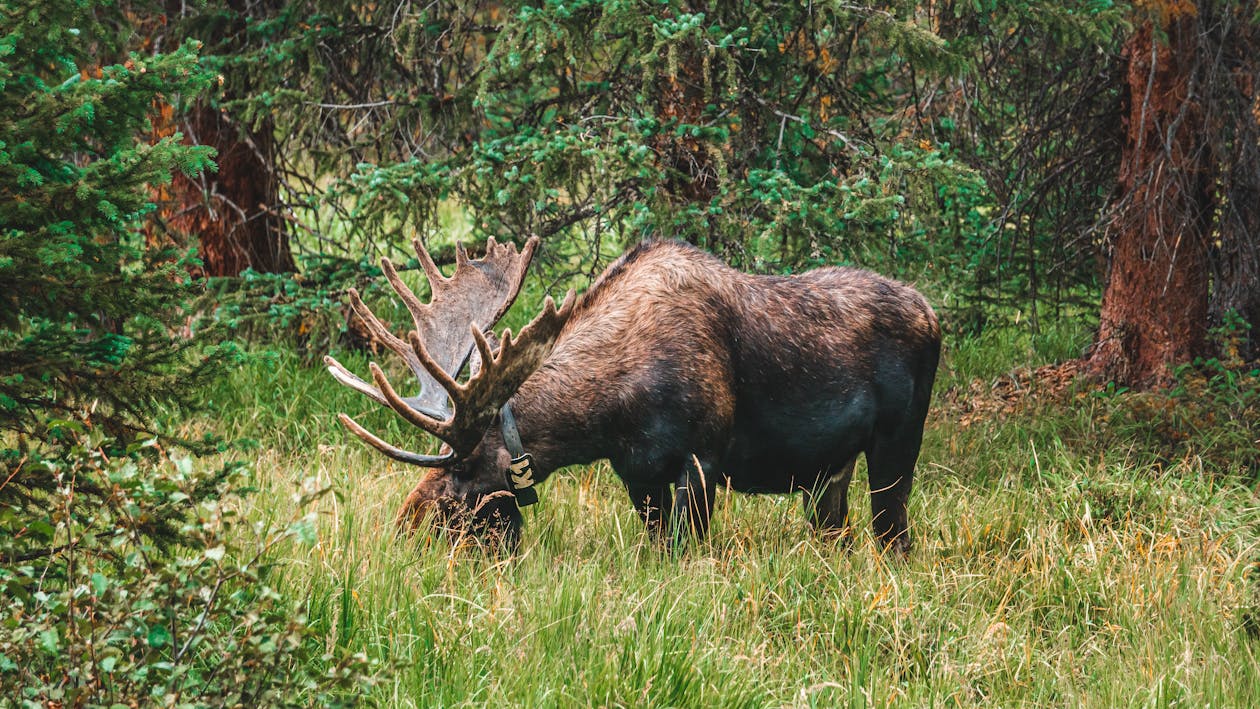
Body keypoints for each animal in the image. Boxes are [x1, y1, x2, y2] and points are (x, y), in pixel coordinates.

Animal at [325, 236, 940, 552]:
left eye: (457, 482)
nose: (404, 533)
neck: (602, 418)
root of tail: (934, 314)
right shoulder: (638, 473)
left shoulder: (702, 460)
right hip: (827, 475)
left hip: (897, 445)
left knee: (894, 535)